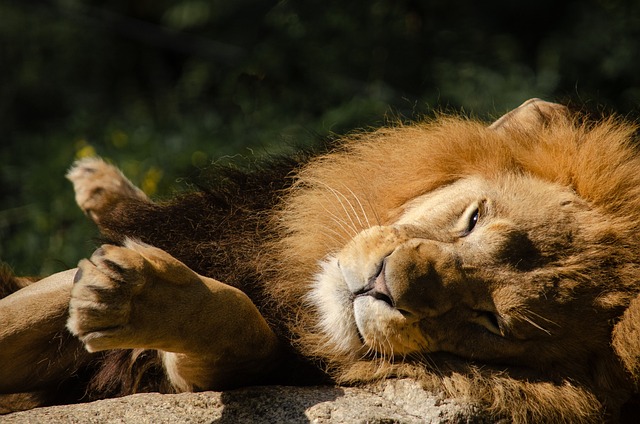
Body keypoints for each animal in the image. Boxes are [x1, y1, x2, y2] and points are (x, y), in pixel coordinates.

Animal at [1, 99, 640, 420]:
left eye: (491, 322)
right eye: (474, 220)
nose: (385, 285)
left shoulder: (194, 375)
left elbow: (241, 325)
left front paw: (133, 295)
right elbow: (30, 303)